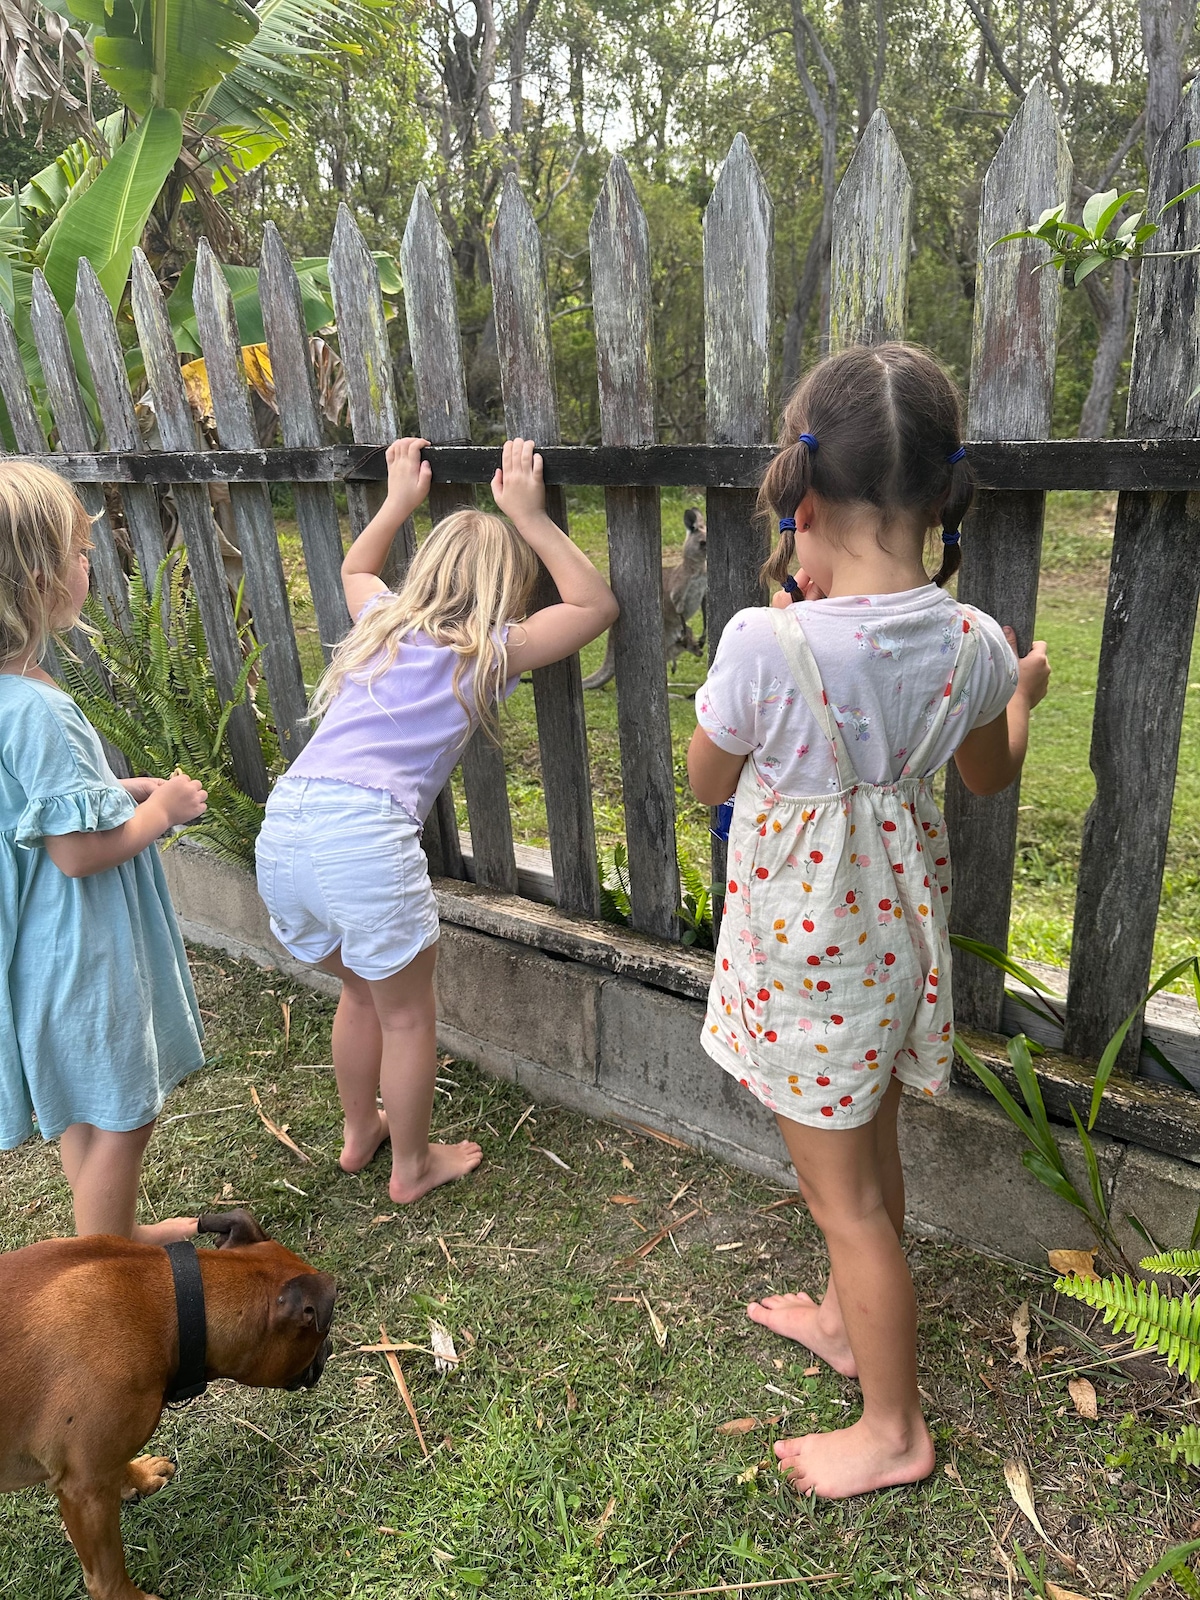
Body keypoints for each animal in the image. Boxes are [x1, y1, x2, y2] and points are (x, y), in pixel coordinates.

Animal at [0, 1209, 336, 1600]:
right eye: (321, 1333)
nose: (331, 1349)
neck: (168, 1303)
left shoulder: (100, 1461)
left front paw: (138, 1478)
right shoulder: (84, 1489)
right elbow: (107, 1573)